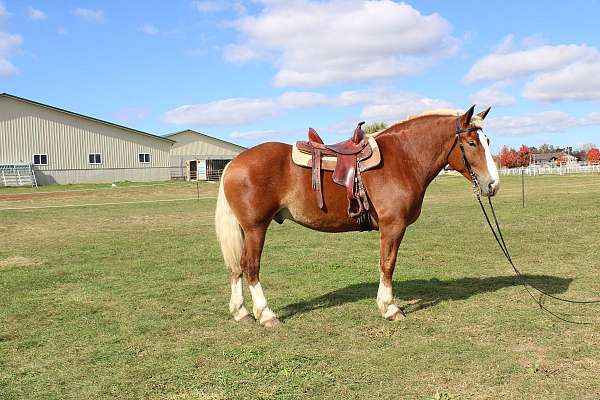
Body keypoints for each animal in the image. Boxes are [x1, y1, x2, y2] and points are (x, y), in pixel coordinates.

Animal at [213, 104, 500, 326]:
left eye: (487, 142)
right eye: (471, 143)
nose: (493, 185)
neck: (403, 158)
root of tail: (235, 162)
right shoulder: (392, 226)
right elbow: (387, 263)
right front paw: (389, 308)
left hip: (247, 230)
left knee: (237, 267)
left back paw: (241, 312)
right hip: (255, 228)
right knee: (250, 266)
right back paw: (266, 314)